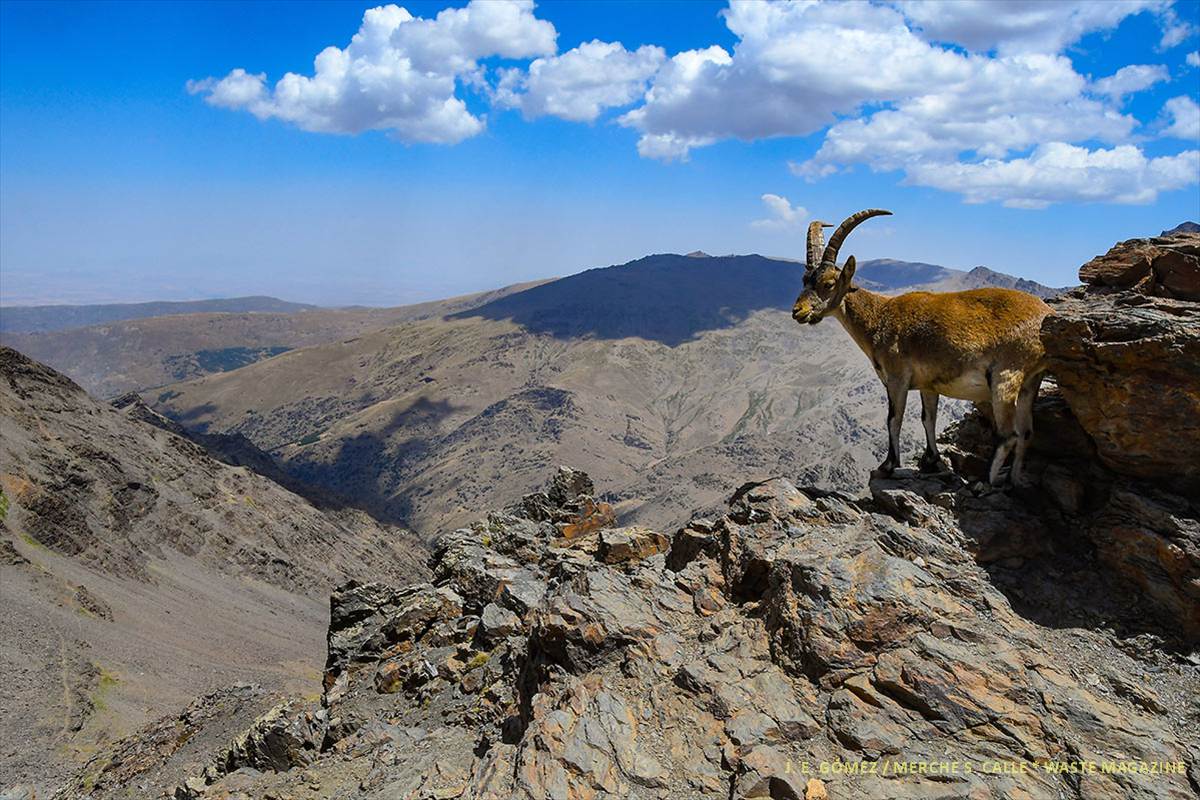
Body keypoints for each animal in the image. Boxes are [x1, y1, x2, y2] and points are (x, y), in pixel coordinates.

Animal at [791, 209, 1051, 487]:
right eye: (805, 280)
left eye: (829, 283)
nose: (798, 312)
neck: (878, 318)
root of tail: (1046, 315)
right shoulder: (929, 384)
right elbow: (928, 419)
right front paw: (932, 461)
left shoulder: (897, 378)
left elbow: (894, 419)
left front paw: (887, 466)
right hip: (1031, 381)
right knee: (1027, 432)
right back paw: (1014, 479)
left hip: (1006, 375)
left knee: (1009, 435)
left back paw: (986, 481)